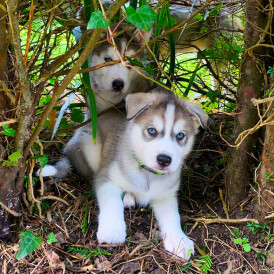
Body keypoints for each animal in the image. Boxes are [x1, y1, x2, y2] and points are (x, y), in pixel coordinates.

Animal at [40, 88, 208, 262]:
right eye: (152, 131)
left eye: (180, 135)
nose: (164, 159)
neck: (147, 173)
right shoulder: (106, 178)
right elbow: (112, 202)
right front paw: (113, 230)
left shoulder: (166, 195)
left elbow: (173, 216)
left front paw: (179, 240)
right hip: (89, 144)